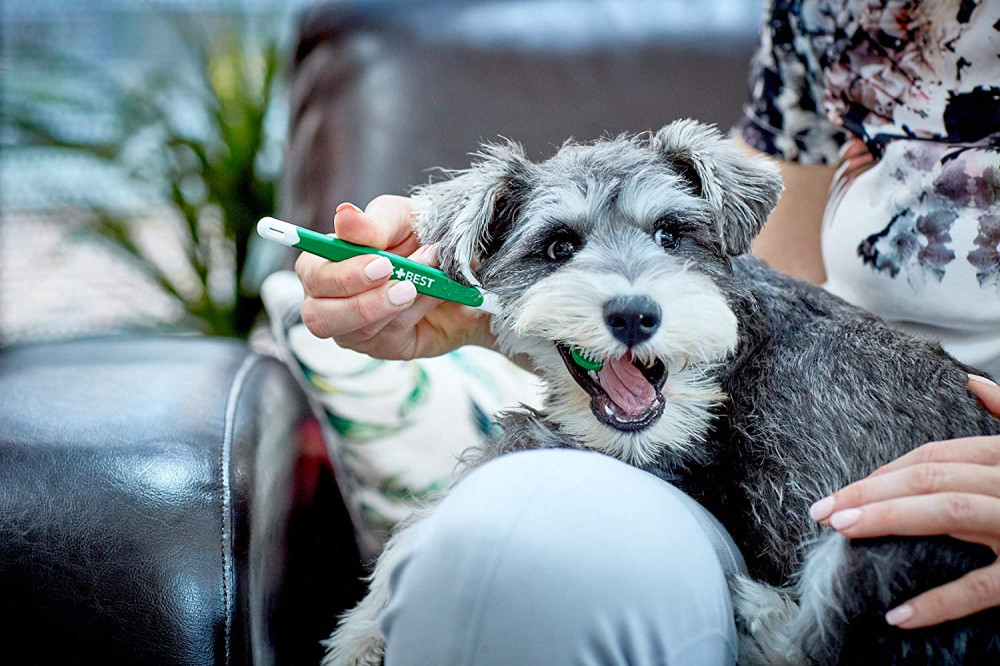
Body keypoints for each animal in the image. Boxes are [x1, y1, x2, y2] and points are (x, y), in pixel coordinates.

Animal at [322, 120, 1000, 664]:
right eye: (559, 246)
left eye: (671, 234)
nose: (633, 314)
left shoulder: (685, 464)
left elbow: (486, 461)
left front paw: (360, 630)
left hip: (885, 533)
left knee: (822, 636)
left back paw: (753, 606)